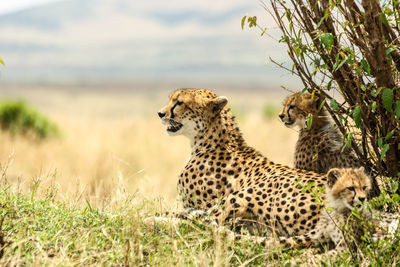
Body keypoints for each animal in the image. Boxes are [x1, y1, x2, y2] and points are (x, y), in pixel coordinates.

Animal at [158, 89, 326, 236]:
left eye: (179, 103)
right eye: (170, 99)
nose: (160, 113)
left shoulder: (202, 206)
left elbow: (192, 221)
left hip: (246, 193)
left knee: (200, 224)